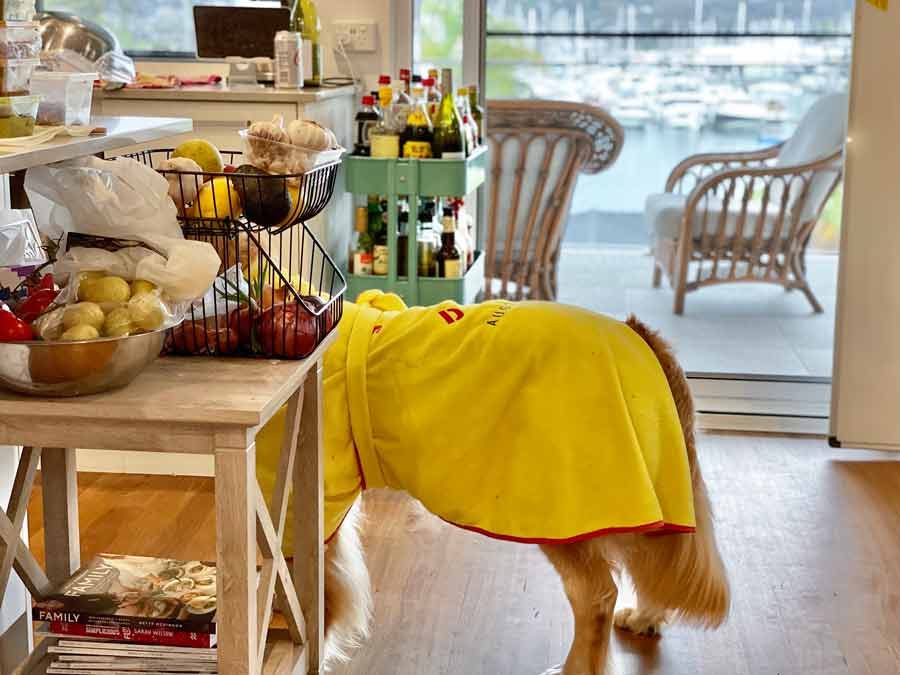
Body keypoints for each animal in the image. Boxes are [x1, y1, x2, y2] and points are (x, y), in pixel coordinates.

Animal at [259, 292, 729, 674]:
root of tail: (638, 335)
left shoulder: (313, 508)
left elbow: (310, 611)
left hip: (564, 507)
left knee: (596, 595)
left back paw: (575, 668)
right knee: (652, 562)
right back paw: (646, 617)